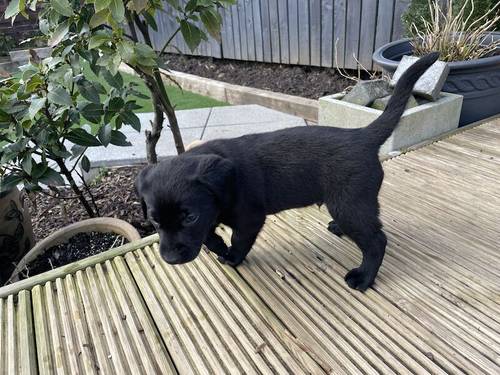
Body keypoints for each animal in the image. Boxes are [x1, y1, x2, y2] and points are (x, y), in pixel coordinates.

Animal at [136, 53, 438, 292]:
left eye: (190, 217)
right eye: (154, 222)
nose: (171, 260)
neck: (228, 180)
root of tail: (362, 136)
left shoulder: (249, 217)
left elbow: (238, 239)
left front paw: (232, 256)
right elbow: (209, 235)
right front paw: (219, 247)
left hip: (349, 202)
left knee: (376, 240)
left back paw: (363, 278)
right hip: (348, 204)